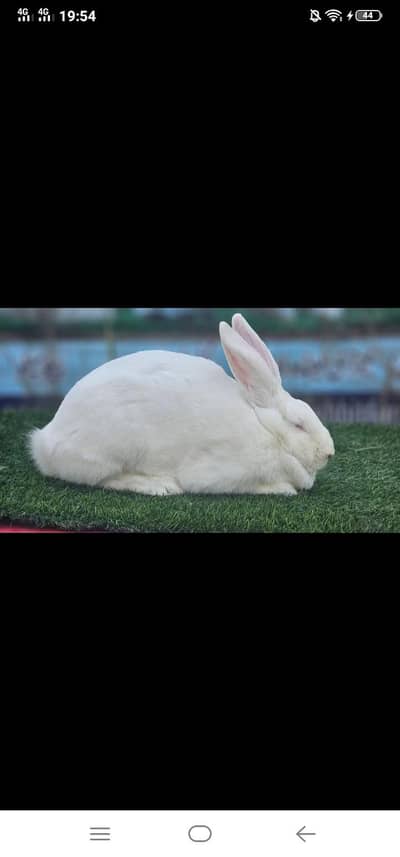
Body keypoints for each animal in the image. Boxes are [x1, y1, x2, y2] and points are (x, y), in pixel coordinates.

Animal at [29, 313, 335, 496]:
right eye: (298, 424)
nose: (329, 452)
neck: (266, 429)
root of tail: (45, 441)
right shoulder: (218, 472)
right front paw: (283, 489)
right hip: (112, 449)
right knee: (102, 479)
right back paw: (159, 486)